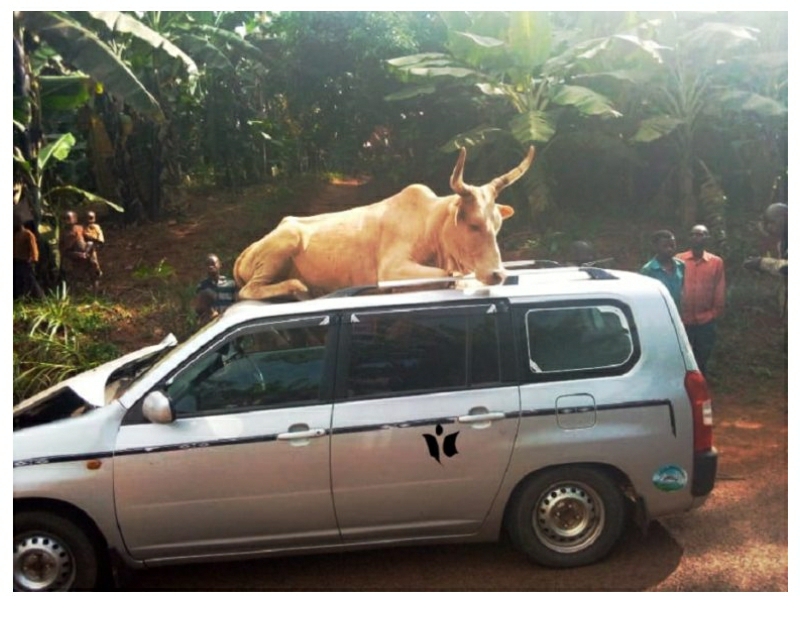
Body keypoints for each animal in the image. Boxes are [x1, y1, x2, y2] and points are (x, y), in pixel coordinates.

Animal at [233, 145, 536, 300]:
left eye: (498, 225)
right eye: (473, 224)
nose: (498, 274)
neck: (431, 225)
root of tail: (247, 251)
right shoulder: (391, 268)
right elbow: (446, 275)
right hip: (284, 243)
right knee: (248, 291)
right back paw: (297, 286)